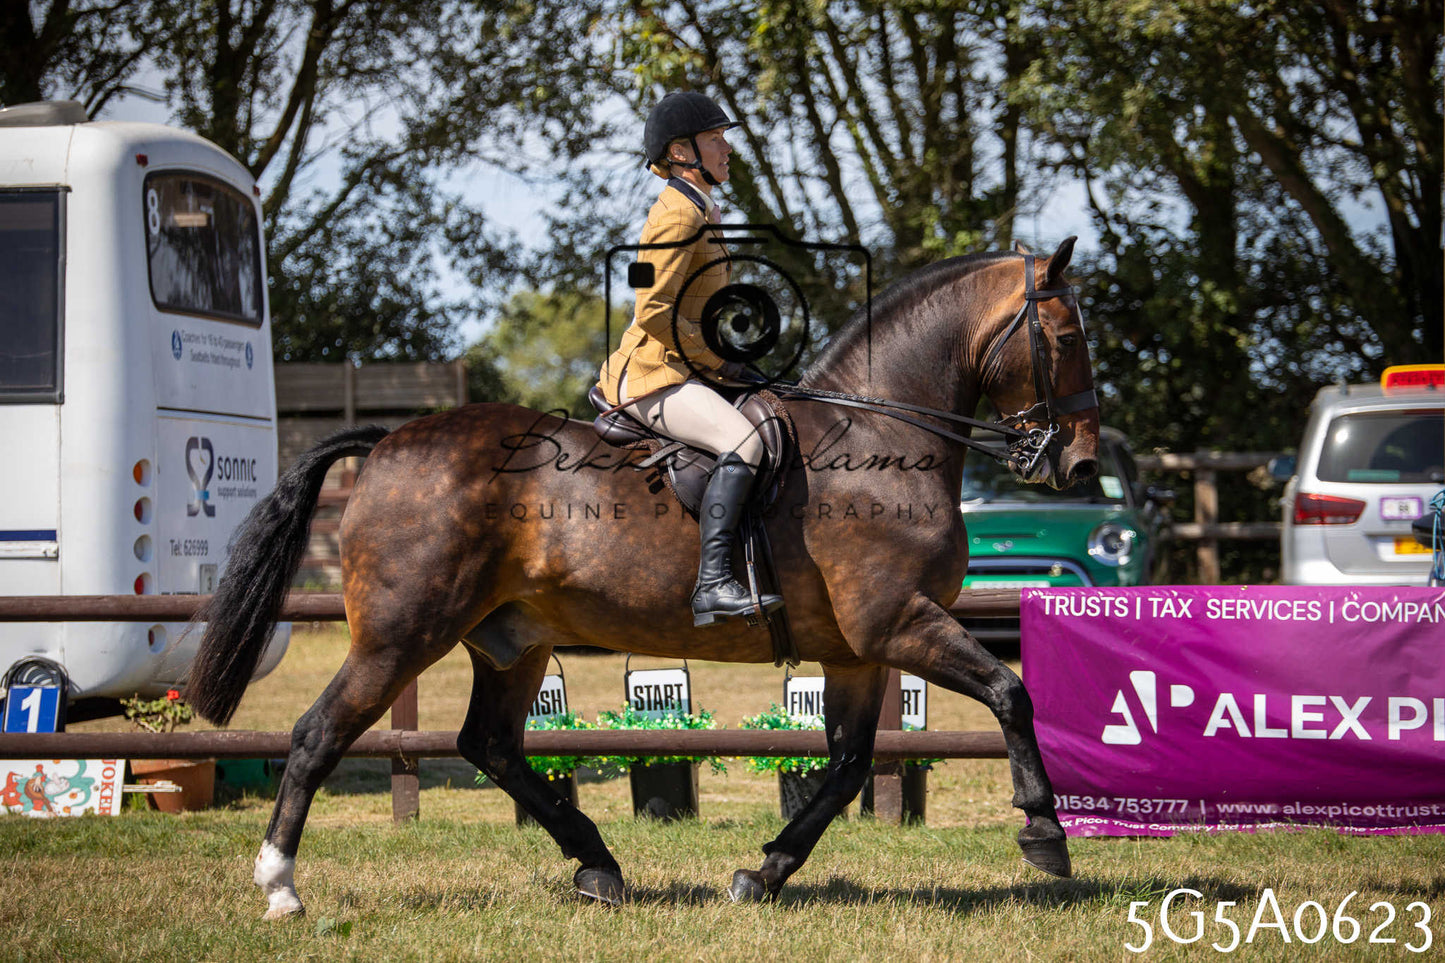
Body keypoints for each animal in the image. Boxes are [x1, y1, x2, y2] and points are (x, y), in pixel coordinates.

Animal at [187, 237, 1099, 918]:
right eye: (1063, 338)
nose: (1080, 464)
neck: (878, 433)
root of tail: (383, 446)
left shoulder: (856, 650)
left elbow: (843, 767)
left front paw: (761, 872)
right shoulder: (899, 622)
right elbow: (1010, 692)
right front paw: (1043, 833)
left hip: (510, 641)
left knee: (490, 743)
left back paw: (597, 864)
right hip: (399, 636)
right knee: (317, 734)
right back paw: (279, 886)